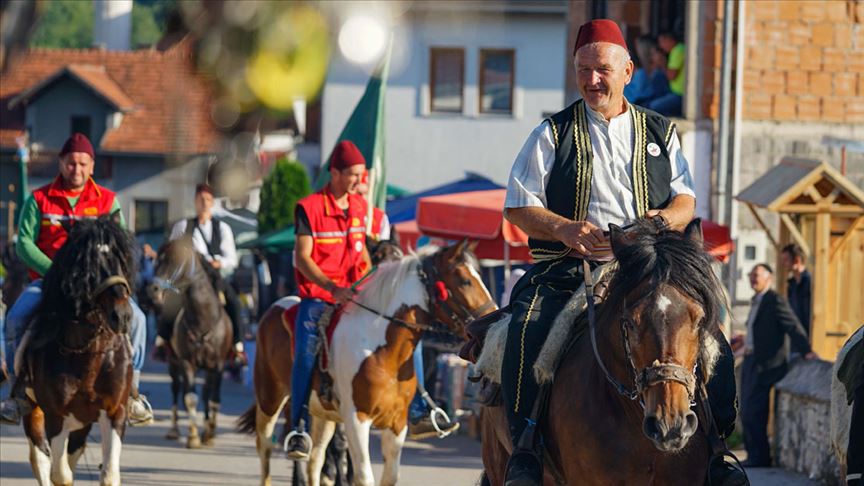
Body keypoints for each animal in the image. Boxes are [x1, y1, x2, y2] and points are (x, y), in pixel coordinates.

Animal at [19, 215, 137, 486]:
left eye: (122, 259)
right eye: (88, 266)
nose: (122, 316)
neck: (89, 354)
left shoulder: (115, 412)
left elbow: (109, 474)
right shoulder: (55, 416)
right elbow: (60, 474)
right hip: (32, 408)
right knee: (40, 458)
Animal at [236, 242, 496, 486]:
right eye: (465, 281)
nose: (491, 319)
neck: (382, 349)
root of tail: (274, 307)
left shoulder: (396, 423)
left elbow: (389, 477)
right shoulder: (356, 419)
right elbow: (364, 476)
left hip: (322, 413)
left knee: (315, 460)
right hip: (270, 398)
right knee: (266, 446)